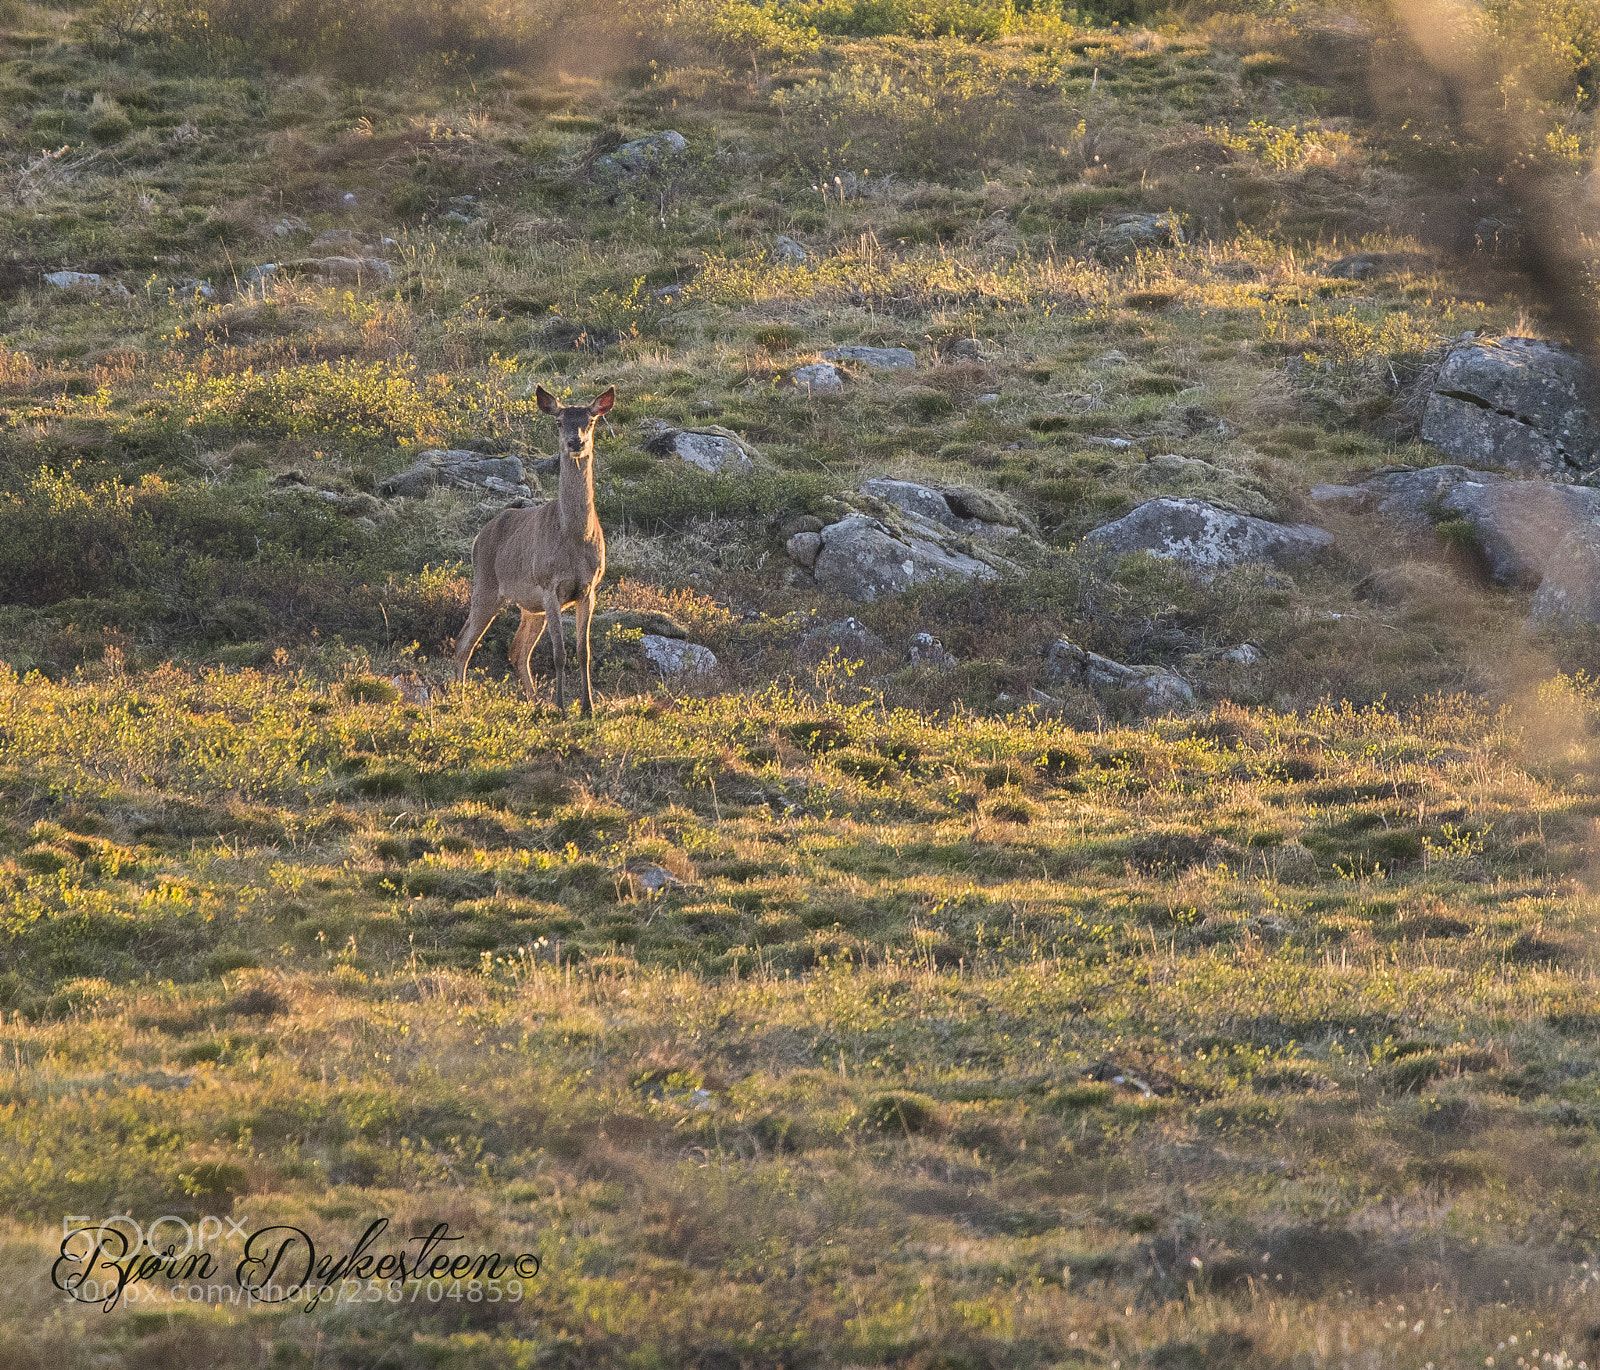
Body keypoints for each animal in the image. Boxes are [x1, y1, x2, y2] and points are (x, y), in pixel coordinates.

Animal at [453, 384, 613, 716]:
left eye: (591, 421)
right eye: (559, 422)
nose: (575, 442)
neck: (574, 538)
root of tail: (478, 537)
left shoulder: (588, 588)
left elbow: (584, 651)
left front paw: (588, 707)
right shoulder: (550, 585)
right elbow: (559, 652)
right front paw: (563, 707)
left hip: (530, 606)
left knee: (517, 650)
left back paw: (534, 701)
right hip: (487, 585)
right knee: (464, 643)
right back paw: (458, 700)